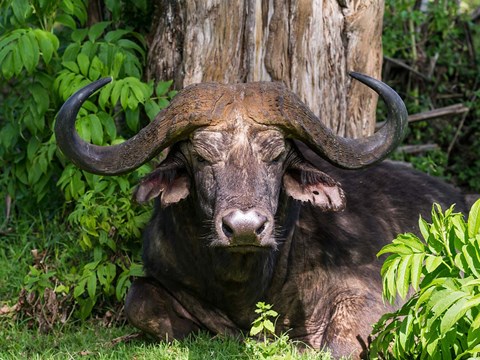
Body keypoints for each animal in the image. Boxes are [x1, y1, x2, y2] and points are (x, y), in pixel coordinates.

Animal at [55, 74, 464, 358]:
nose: (244, 228)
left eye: (275, 154)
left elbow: (340, 342)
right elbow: (137, 299)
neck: (245, 282)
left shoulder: (371, 292)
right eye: (202, 155)